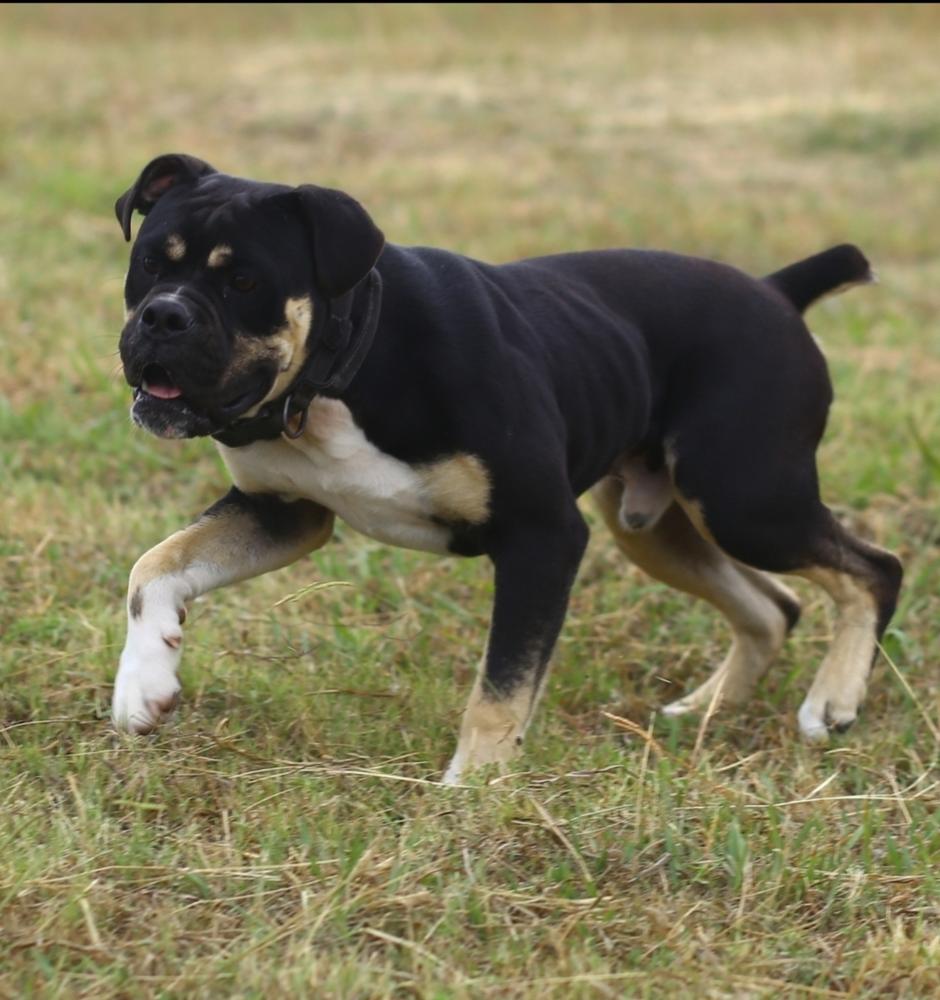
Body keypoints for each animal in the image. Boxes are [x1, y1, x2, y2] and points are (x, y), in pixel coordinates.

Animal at [110, 154, 904, 780]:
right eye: (148, 264)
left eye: (244, 282)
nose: (163, 316)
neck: (345, 366)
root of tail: (775, 290)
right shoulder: (283, 513)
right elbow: (155, 566)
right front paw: (143, 683)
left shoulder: (543, 537)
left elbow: (501, 688)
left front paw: (472, 790)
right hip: (653, 525)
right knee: (773, 608)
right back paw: (704, 711)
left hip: (743, 498)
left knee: (874, 569)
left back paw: (833, 699)